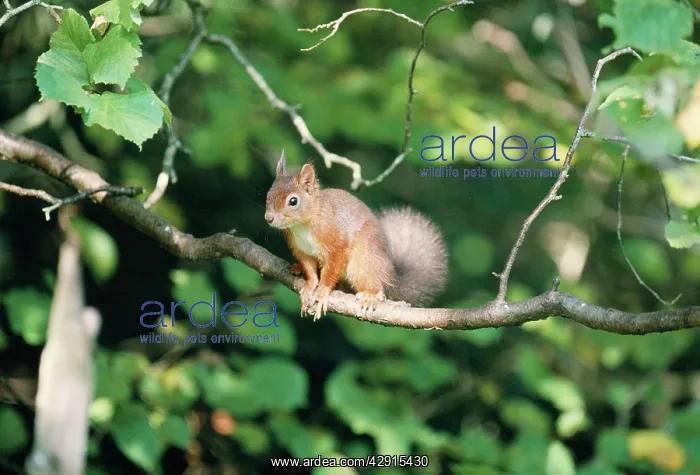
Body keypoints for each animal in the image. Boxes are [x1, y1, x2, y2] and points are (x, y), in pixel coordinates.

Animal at [265, 151, 448, 320]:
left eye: (293, 201)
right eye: (268, 194)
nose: (269, 218)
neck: (302, 225)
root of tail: (391, 277)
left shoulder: (336, 242)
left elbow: (331, 269)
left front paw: (322, 291)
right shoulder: (301, 249)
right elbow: (310, 270)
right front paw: (309, 287)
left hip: (364, 259)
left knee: (374, 283)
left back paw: (370, 296)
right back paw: (297, 268)